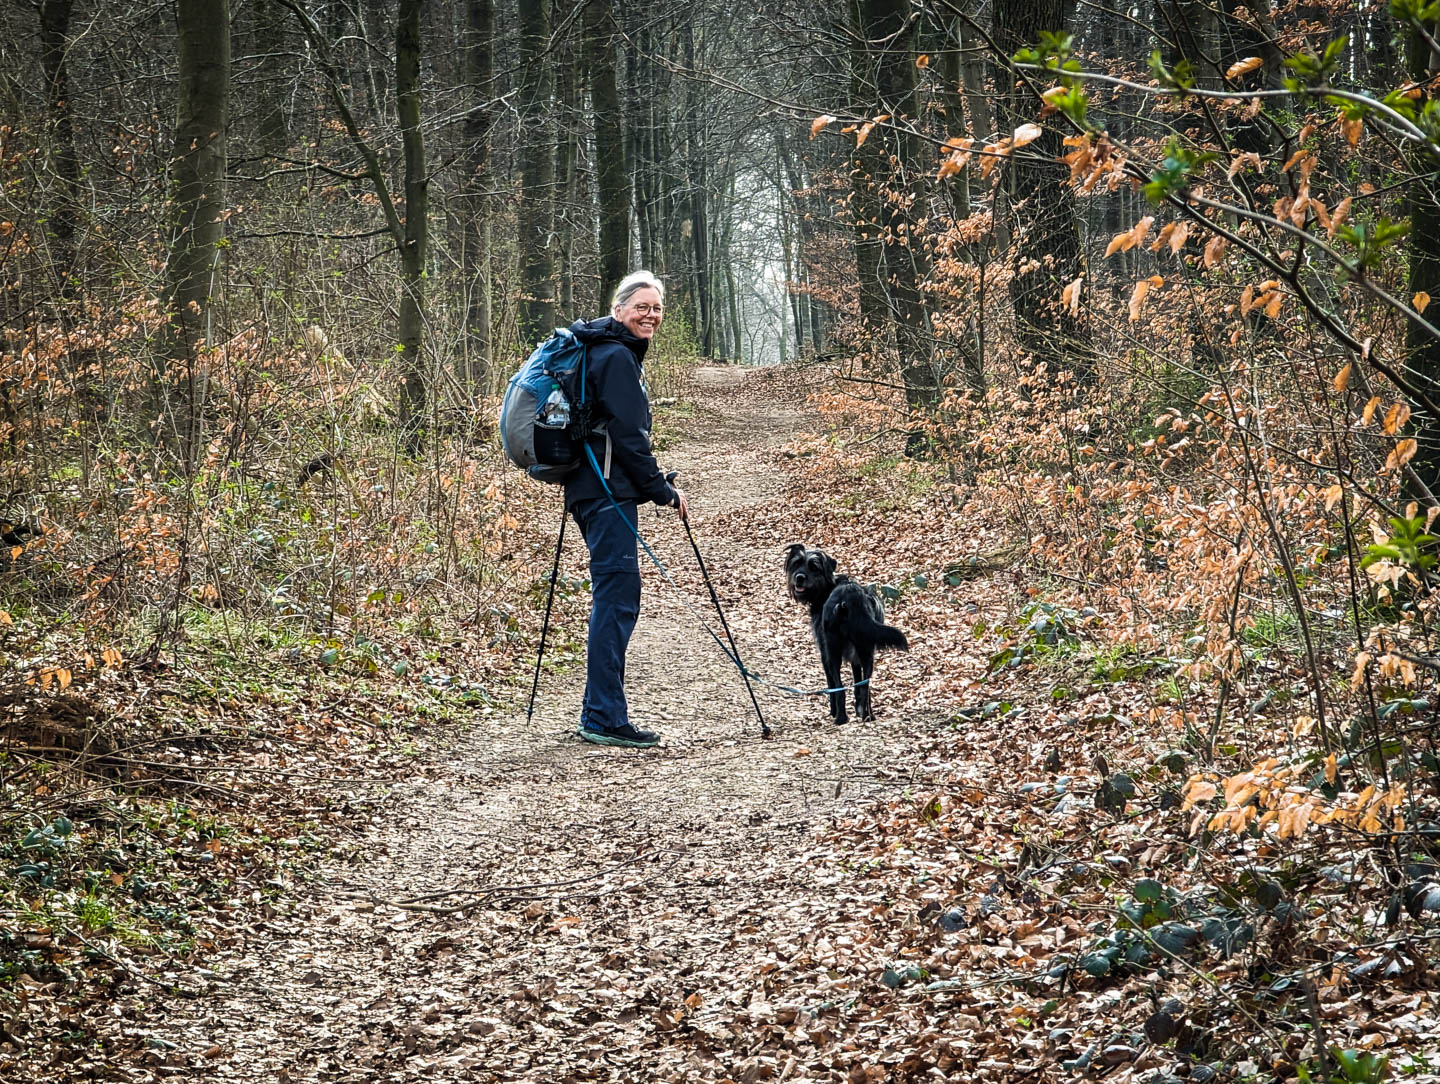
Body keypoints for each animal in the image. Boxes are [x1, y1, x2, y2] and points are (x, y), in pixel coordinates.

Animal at [789, 544, 910, 722]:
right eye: (797, 563)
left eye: (814, 567)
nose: (799, 577)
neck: (827, 588)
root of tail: (850, 597)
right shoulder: (856, 658)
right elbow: (858, 682)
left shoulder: (824, 654)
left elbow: (831, 685)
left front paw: (833, 710)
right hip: (866, 650)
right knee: (865, 685)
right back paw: (867, 715)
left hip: (833, 651)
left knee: (839, 687)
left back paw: (840, 717)